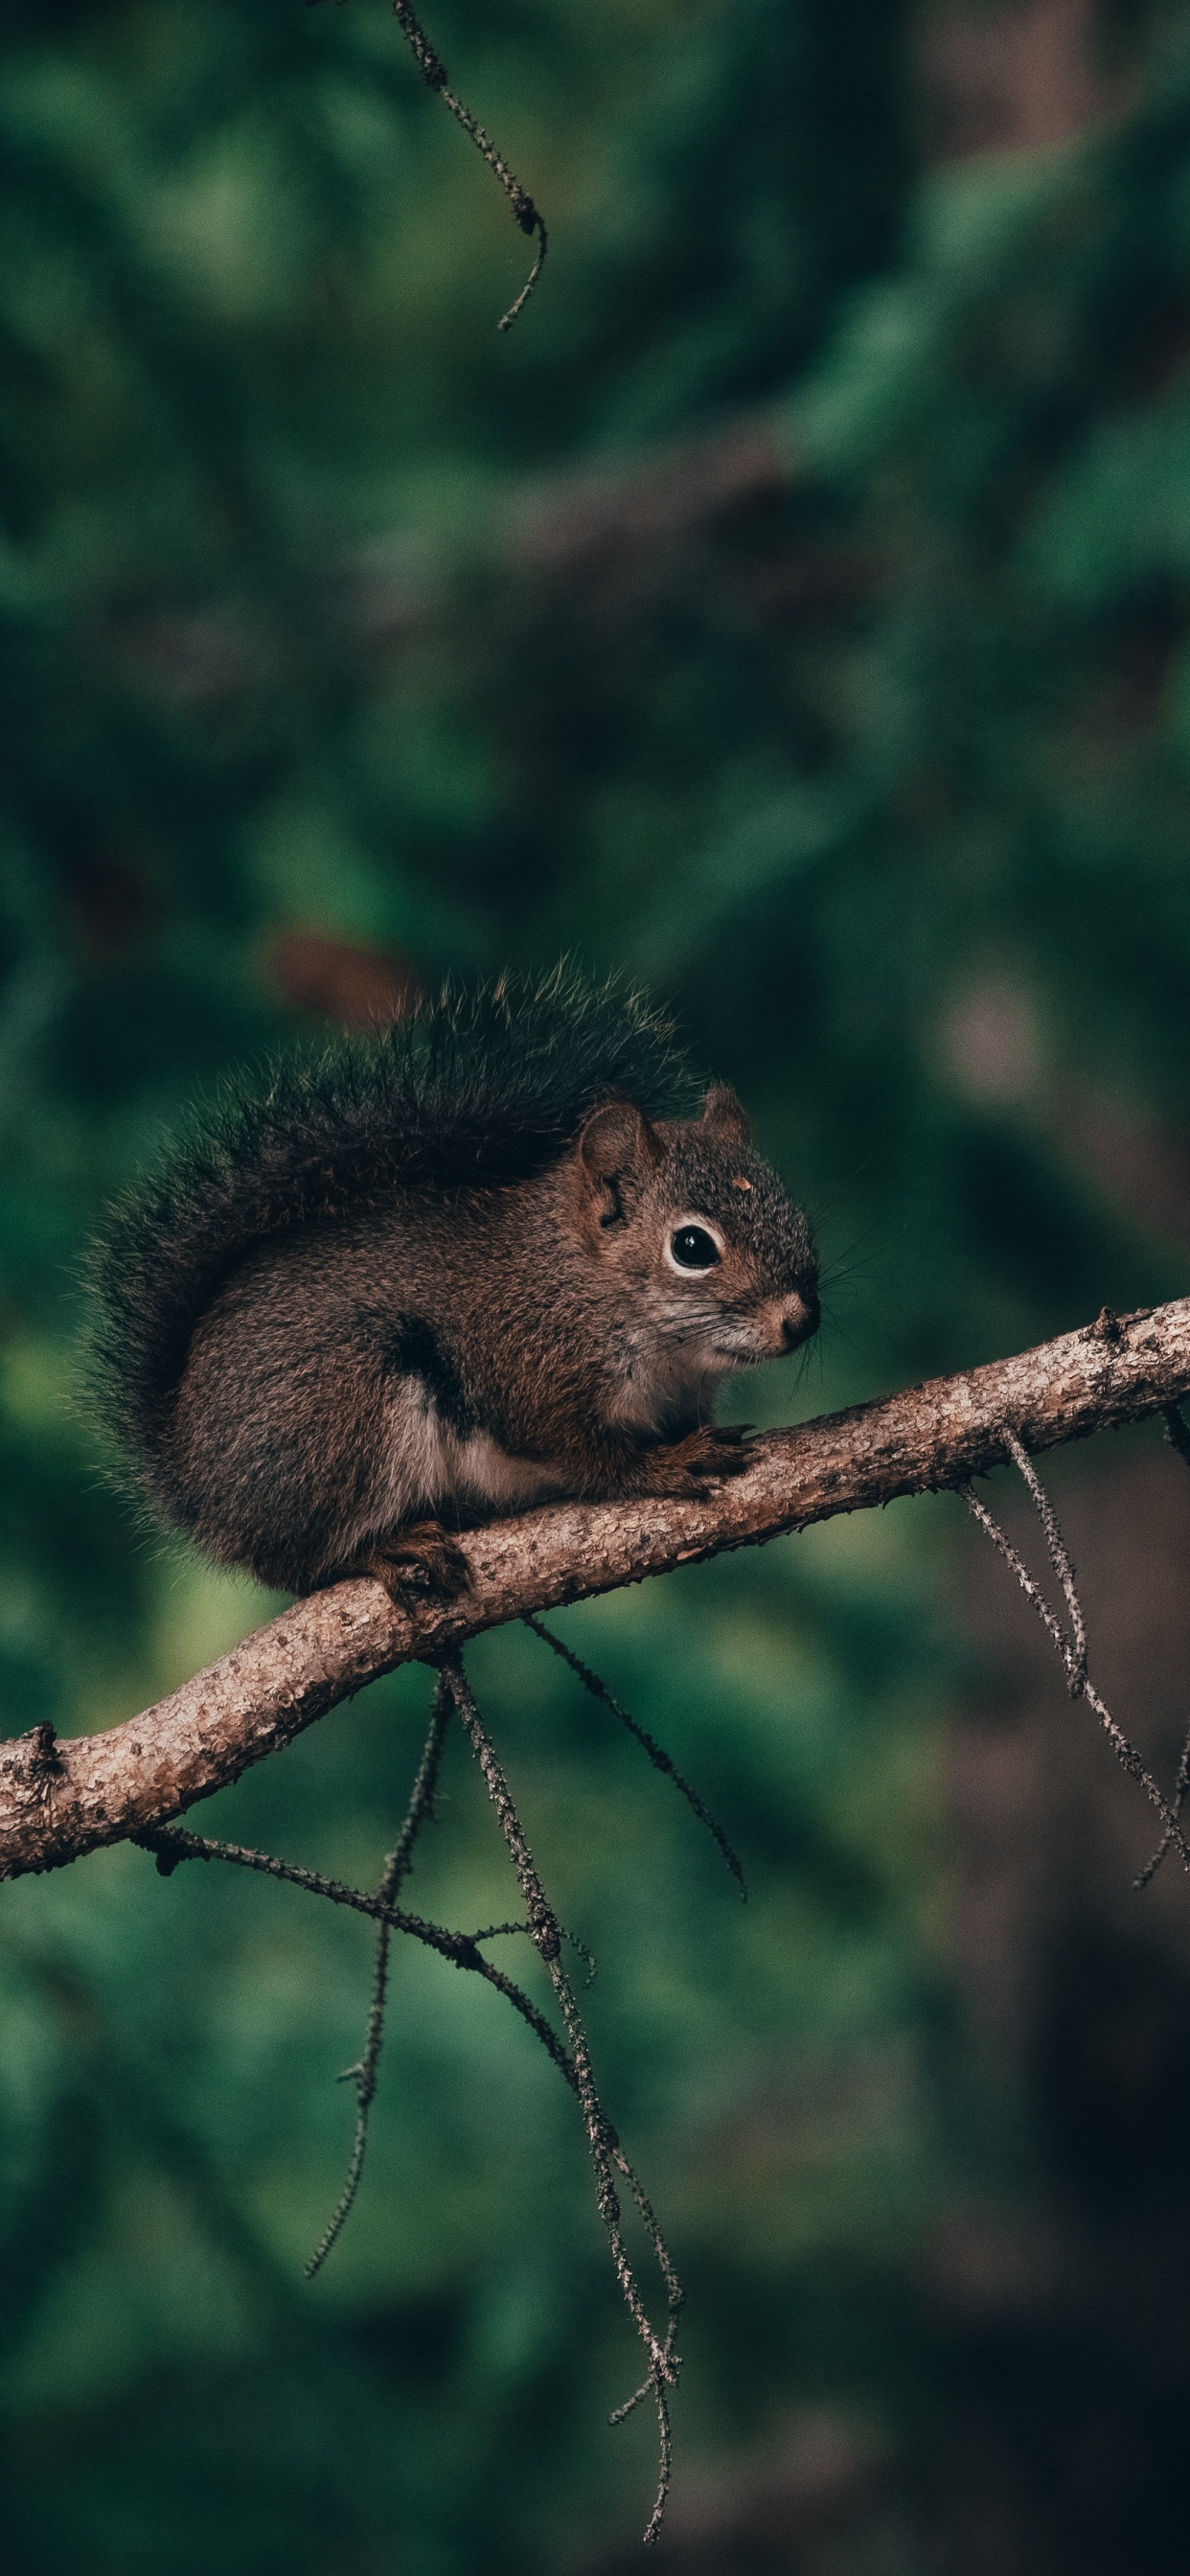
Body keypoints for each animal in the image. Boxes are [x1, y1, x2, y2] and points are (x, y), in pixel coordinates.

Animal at [90, 974, 818, 1597]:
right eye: (692, 1247)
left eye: (797, 1212)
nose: (801, 1320)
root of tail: (198, 1487)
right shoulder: (530, 1370)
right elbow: (584, 1453)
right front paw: (663, 1466)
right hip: (343, 1416)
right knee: (299, 1566)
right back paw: (385, 1548)